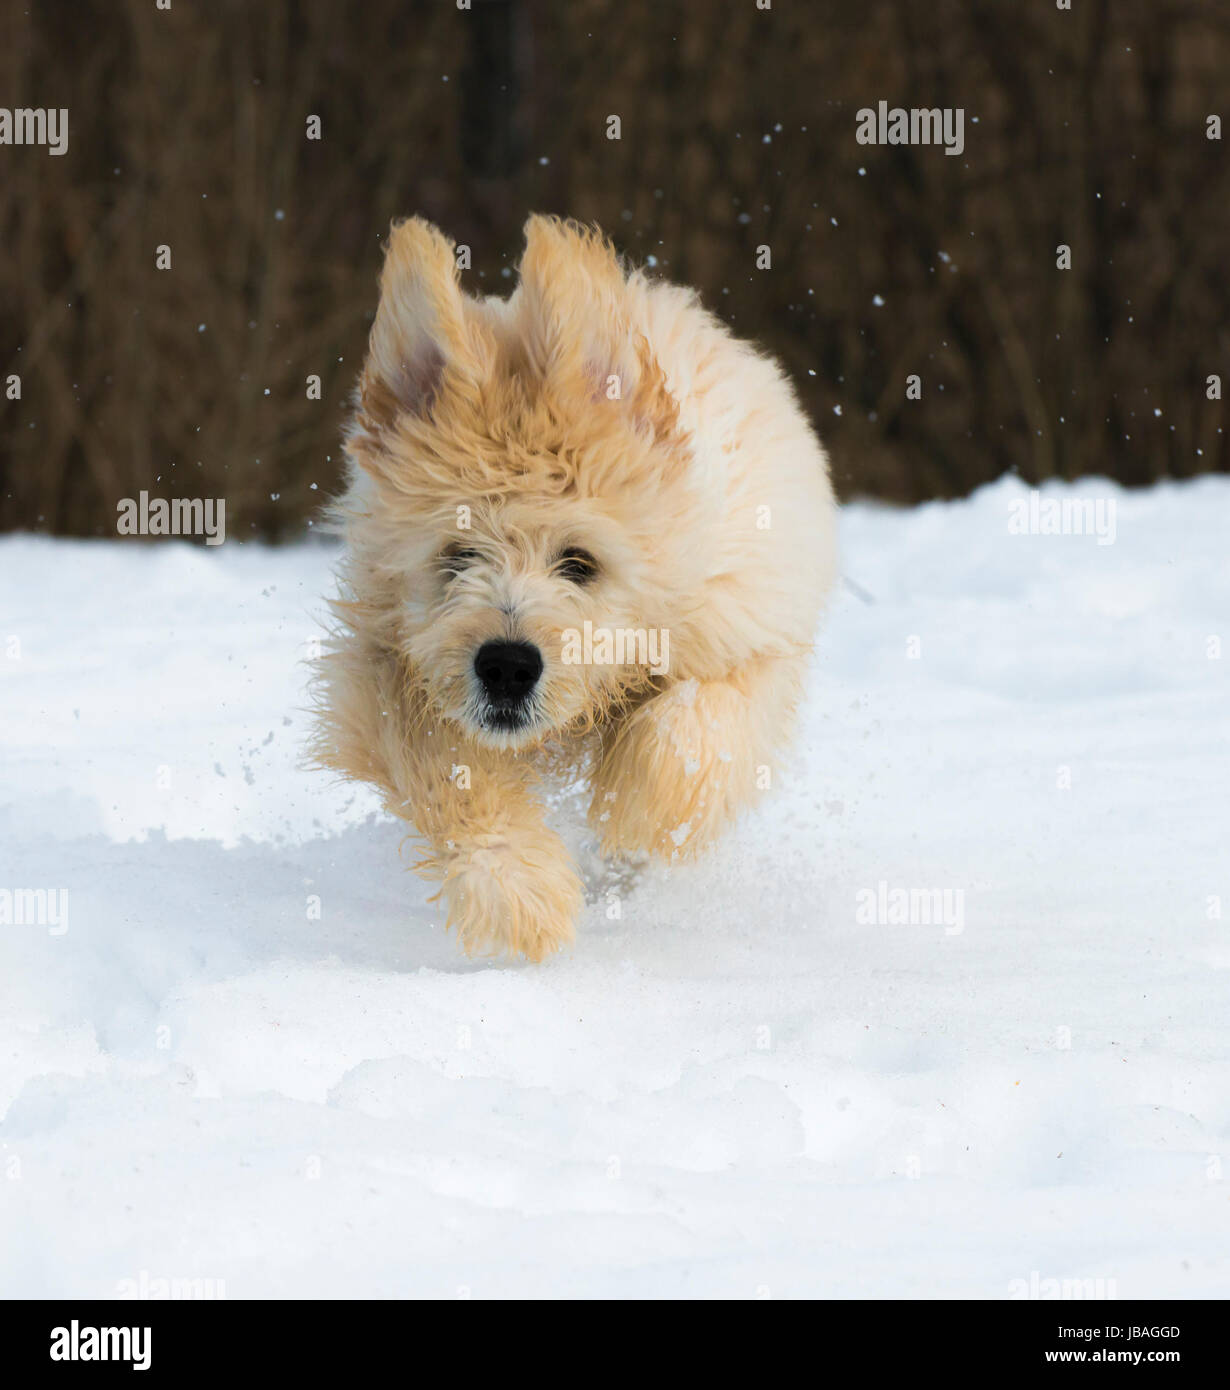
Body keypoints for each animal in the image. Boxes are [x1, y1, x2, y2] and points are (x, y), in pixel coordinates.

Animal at [311, 216, 839, 961]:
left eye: (580, 562)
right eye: (457, 555)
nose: (506, 666)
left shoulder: (747, 632)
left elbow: (684, 733)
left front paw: (633, 816)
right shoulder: (386, 662)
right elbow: (445, 767)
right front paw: (518, 893)